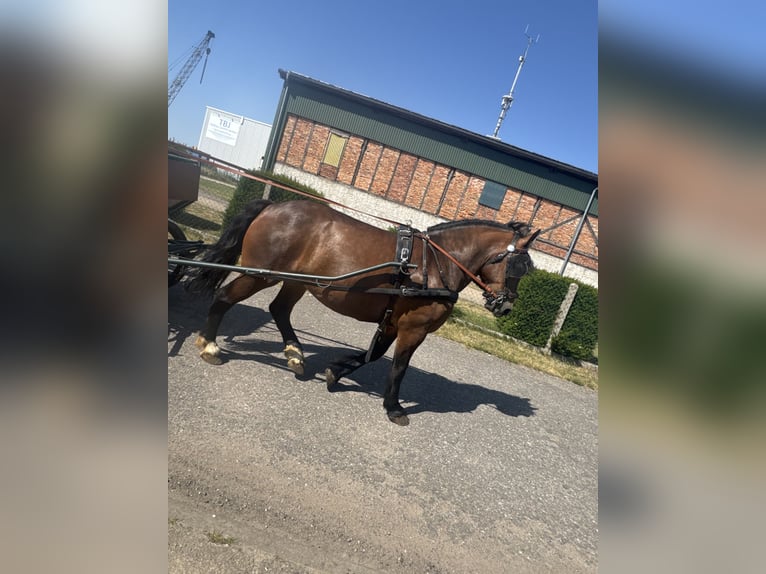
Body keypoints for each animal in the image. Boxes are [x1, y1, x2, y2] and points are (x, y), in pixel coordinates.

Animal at [185, 199, 540, 425]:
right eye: (518, 267)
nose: (506, 305)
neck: (436, 263)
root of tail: (272, 206)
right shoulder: (413, 328)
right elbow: (398, 368)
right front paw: (394, 407)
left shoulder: (393, 322)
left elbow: (372, 355)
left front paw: (336, 372)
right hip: (260, 274)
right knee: (225, 297)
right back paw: (210, 345)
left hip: (297, 280)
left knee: (279, 309)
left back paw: (295, 355)